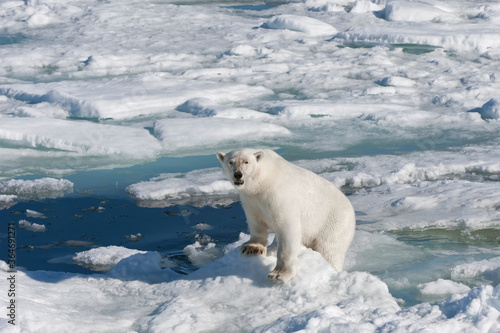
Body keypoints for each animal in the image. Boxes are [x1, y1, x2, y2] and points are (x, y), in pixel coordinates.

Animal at [218, 149, 356, 282]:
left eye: (246, 162)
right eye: (231, 162)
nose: (238, 174)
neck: (263, 180)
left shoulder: (278, 194)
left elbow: (287, 228)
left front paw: (279, 274)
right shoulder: (251, 200)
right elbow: (256, 222)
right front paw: (252, 248)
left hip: (334, 224)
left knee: (329, 251)